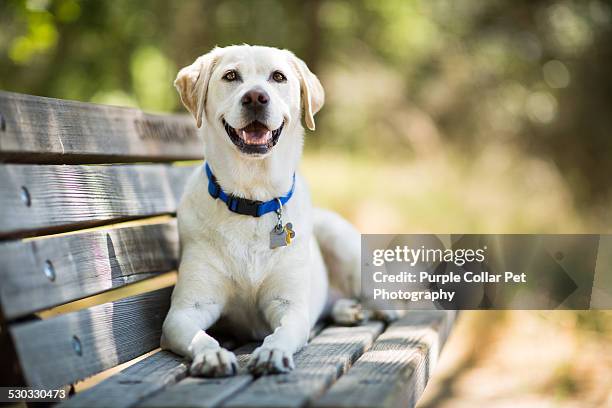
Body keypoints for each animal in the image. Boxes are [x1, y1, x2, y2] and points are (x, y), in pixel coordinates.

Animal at [160, 44, 394, 376]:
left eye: (278, 77)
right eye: (230, 76)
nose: (256, 97)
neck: (252, 200)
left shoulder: (289, 306)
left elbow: (283, 331)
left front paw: (272, 352)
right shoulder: (185, 311)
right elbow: (199, 336)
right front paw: (212, 354)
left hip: (339, 237)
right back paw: (347, 310)